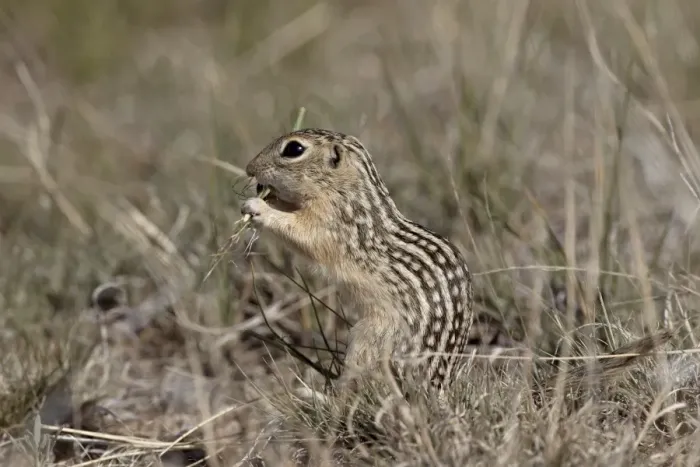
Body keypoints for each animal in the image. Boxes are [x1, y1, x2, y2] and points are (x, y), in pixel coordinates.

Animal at [241, 128, 474, 393]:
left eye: (294, 149)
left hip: (367, 341)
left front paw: (258, 207)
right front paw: (264, 198)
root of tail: (434, 387)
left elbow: (300, 232)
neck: (347, 191)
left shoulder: (330, 225)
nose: (249, 168)